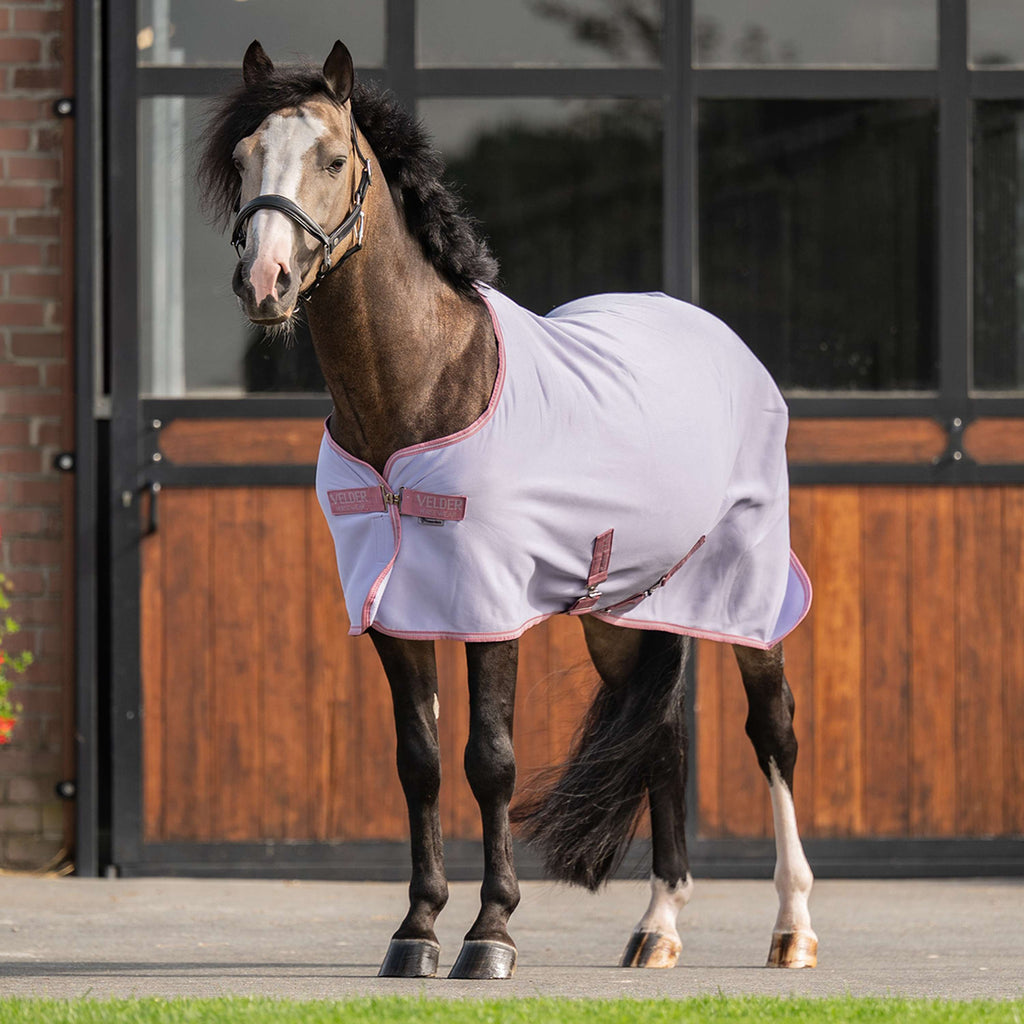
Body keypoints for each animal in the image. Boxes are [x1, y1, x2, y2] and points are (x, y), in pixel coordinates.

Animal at [198, 38, 818, 980]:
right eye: (242, 160)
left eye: (333, 160)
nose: (263, 283)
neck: (420, 388)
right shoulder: (396, 613)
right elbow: (418, 763)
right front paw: (416, 931)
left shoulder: (490, 606)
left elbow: (490, 759)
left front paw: (490, 934)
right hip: (622, 615)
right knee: (664, 741)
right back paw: (658, 929)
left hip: (747, 599)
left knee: (772, 731)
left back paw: (792, 927)